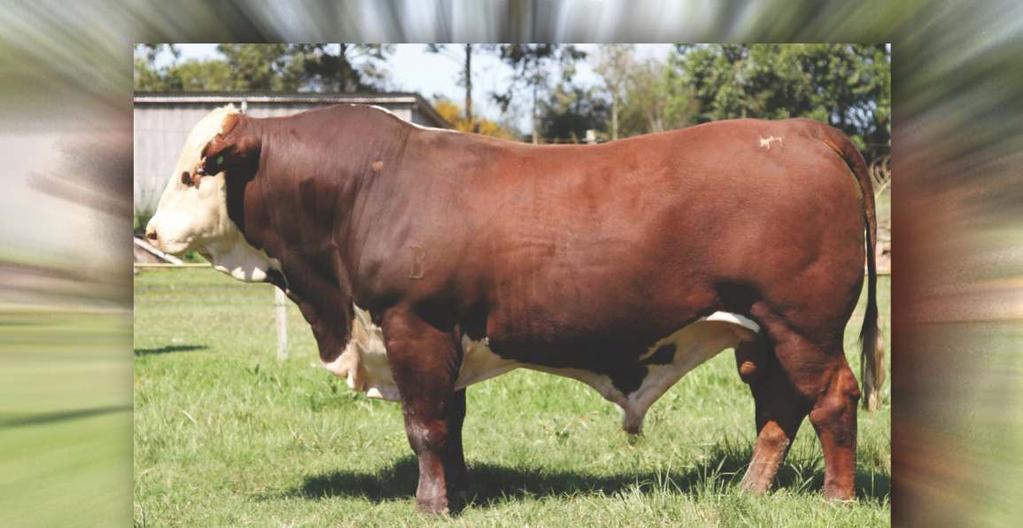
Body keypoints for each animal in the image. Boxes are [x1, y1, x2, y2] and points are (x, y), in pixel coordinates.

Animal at [142, 103, 879, 511]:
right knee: (777, 407)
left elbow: (424, 426)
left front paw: (430, 505)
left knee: (831, 398)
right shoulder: (442, 338)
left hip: (803, 325)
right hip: (761, 333)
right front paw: (460, 492)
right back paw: (750, 491)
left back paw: (835, 497)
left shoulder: (414, 326)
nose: (150, 232)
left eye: (192, 172)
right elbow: (450, 425)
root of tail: (800, 131)